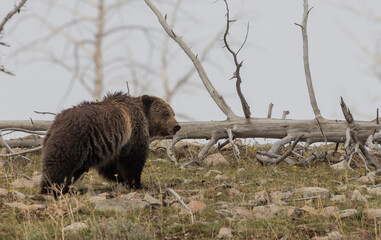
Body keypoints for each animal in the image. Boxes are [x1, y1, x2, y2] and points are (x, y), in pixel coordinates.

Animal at [40, 91, 181, 196]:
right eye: (166, 113)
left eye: (173, 113)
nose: (177, 126)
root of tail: (54, 124)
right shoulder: (133, 135)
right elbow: (133, 159)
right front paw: (136, 183)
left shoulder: (112, 145)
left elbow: (110, 166)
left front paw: (123, 180)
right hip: (74, 139)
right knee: (59, 164)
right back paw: (50, 189)